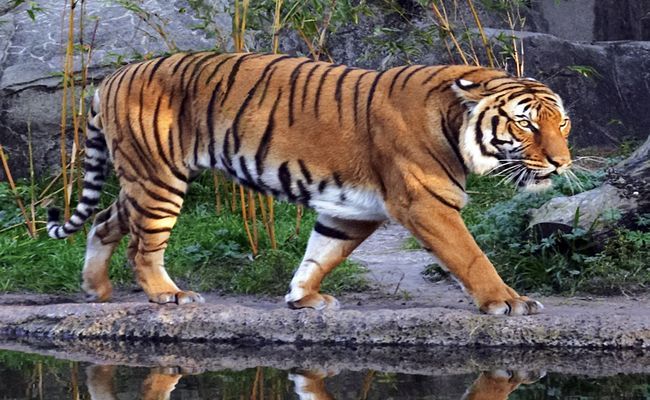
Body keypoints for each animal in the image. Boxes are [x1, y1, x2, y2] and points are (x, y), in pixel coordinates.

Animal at [48, 51, 568, 316]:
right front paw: (508, 302)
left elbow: (321, 254)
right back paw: (167, 294)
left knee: (104, 222)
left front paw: (303, 297)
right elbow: (471, 255)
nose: (562, 163)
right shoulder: (424, 202)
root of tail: (111, 77)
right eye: (525, 125)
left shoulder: (350, 212)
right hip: (158, 179)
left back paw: (96, 289)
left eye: (561, 124)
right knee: (142, 246)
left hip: (144, 179)